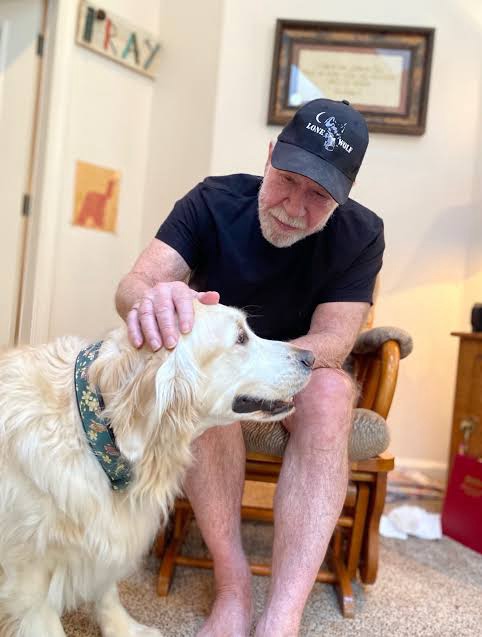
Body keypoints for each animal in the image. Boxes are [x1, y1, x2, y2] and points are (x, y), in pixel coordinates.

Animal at [0, 301, 313, 637]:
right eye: (241, 337)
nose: (311, 357)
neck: (92, 433)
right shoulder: (27, 583)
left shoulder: (107, 542)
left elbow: (107, 591)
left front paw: (125, 628)